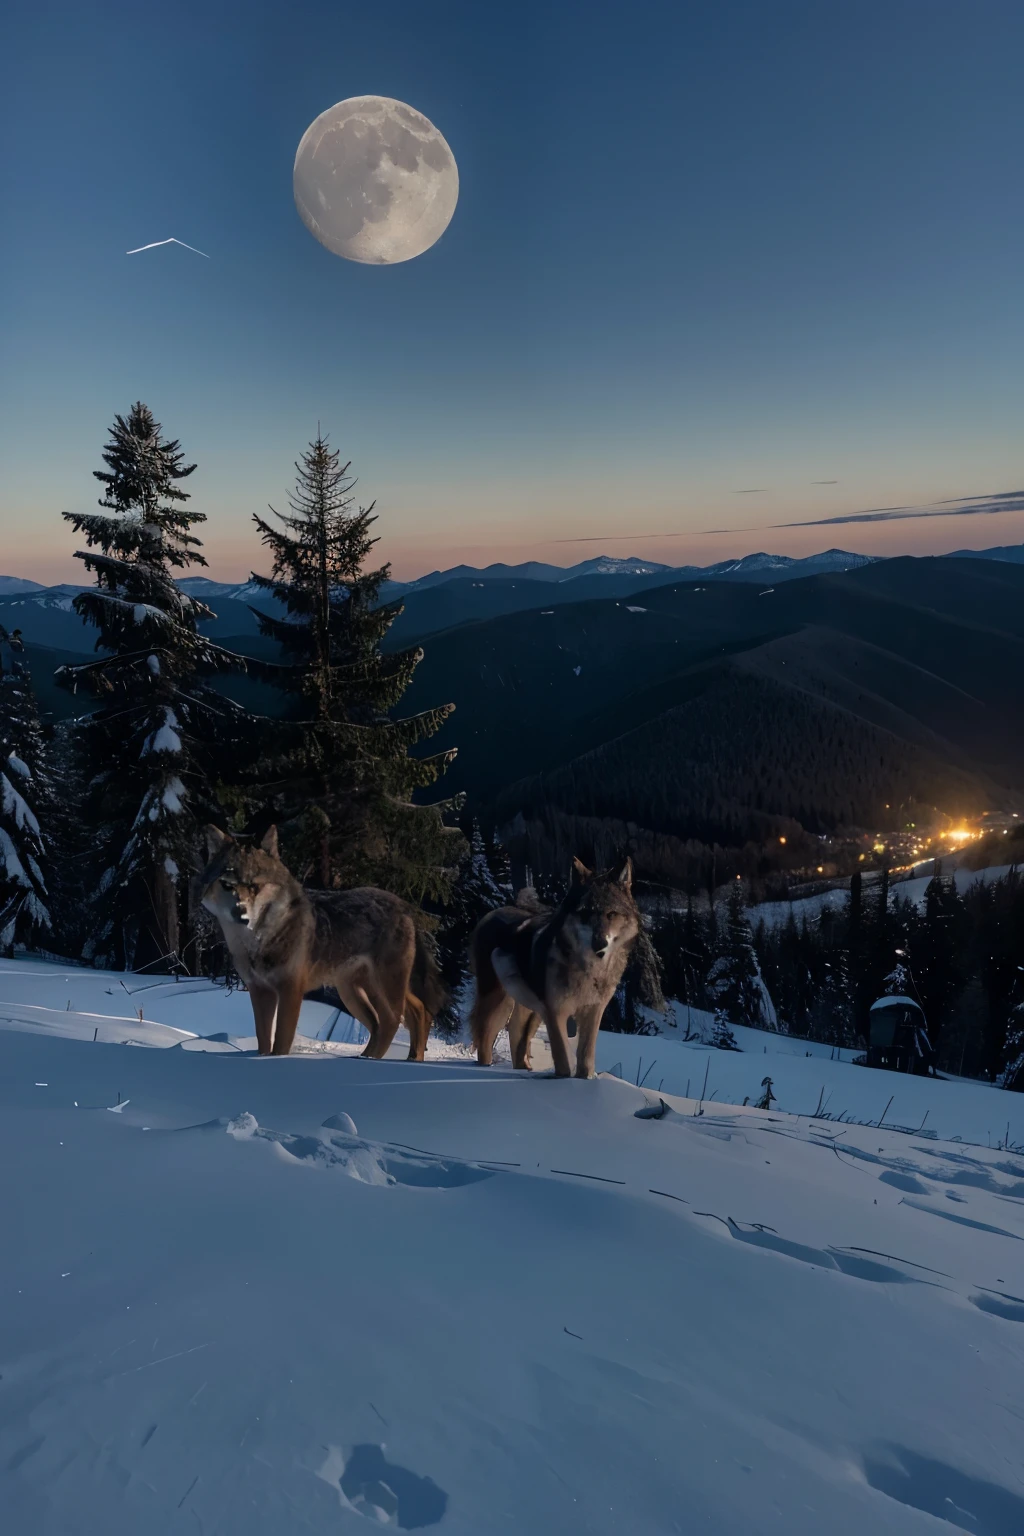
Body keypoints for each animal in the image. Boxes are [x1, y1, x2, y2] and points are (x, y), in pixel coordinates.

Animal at [199, 829, 445, 1056]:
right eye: (227, 885)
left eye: (255, 886)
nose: (240, 913)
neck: (257, 942)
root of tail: (403, 905)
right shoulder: (260, 990)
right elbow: (263, 1040)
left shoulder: (290, 989)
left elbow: (281, 1042)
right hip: (356, 993)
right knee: (406, 1014)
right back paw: (395, 1058)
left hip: (383, 987)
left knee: (394, 1018)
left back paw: (375, 1059)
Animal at [469, 854, 635, 1081]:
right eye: (584, 913)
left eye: (611, 914)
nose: (600, 944)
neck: (587, 969)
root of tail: (492, 913)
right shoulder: (556, 1012)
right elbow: (563, 1058)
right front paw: (563, 1080)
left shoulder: (593, 1011)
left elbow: (586, 1056)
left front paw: (587, 1080)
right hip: (498, 1001)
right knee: (485, 1036)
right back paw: (486, 1068)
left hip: (531, 1009)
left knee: (516, 1032)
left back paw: (523, 1069)